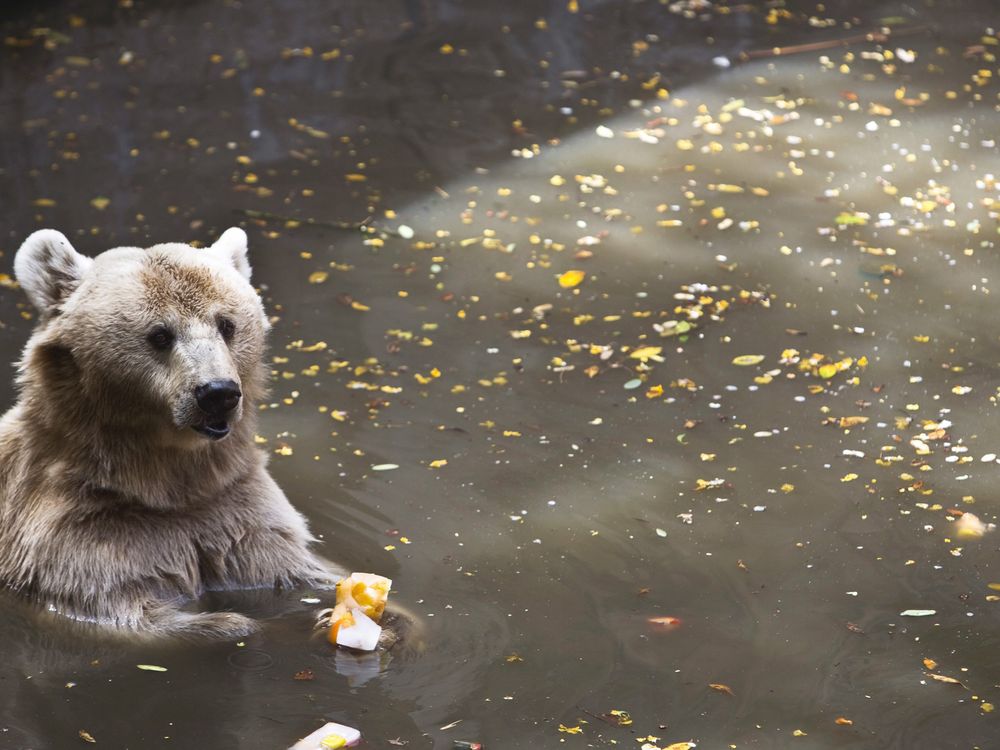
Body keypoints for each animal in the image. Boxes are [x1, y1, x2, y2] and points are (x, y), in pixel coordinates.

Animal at [0, 229, 344, 640]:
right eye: (160, 334)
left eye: (227, 324)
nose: (217, 393)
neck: (163, 479)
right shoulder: (80, 533)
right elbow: (132, 613)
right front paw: (240, 623)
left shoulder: (235, 507)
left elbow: (297, 567)